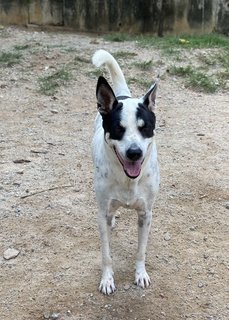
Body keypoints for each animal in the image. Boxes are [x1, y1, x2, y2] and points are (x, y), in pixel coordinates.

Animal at [91, 49, 159, 296]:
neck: (128, 180)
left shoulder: (146, 215)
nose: (134, 153)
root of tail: (123, 96)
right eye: (118, 129)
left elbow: (141, 251)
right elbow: (106, 255)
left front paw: (140, 274)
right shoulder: (102, 213)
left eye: (144, 127)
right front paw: (107, 280)